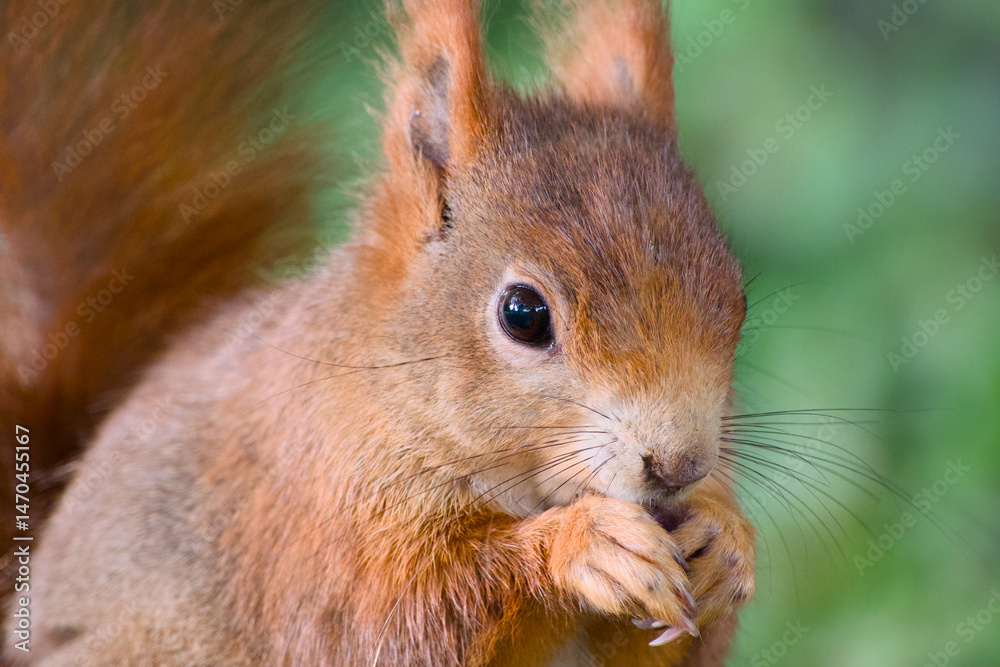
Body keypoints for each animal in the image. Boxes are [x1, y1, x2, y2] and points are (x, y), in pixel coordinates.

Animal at [1, 0, 755, 665]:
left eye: (739, 296)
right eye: (523, 314)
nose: (681, 465)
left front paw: (725, 537)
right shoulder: (311, 513)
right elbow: (390, 618)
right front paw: (583, 544)